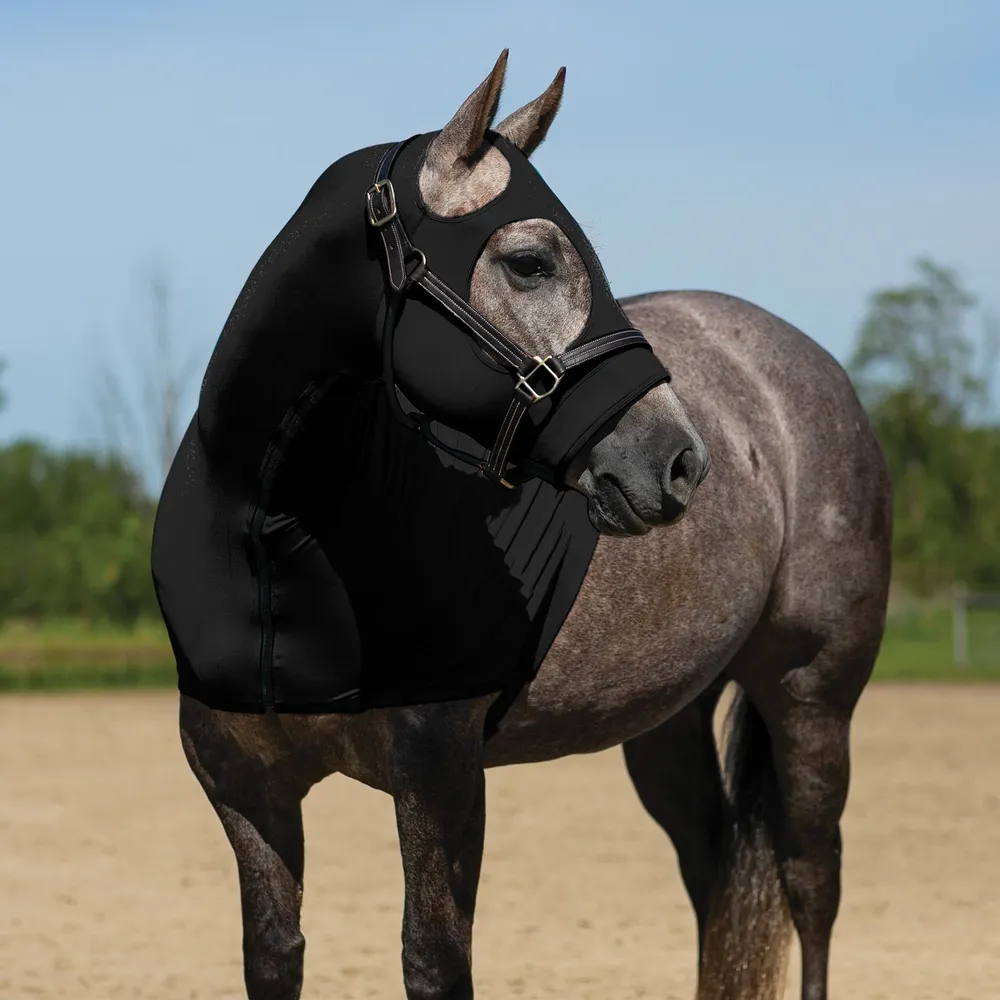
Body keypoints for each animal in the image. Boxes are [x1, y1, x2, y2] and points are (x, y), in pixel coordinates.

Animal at [169, 51, 892, 1000]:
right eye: (529, 261)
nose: (679, 460)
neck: (278, 559)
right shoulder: (243, 786)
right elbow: (273, 956)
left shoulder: (440, 776)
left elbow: (434, 961)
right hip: (666, 720)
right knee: (710, 872)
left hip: (811, 695)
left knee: (812, 884)